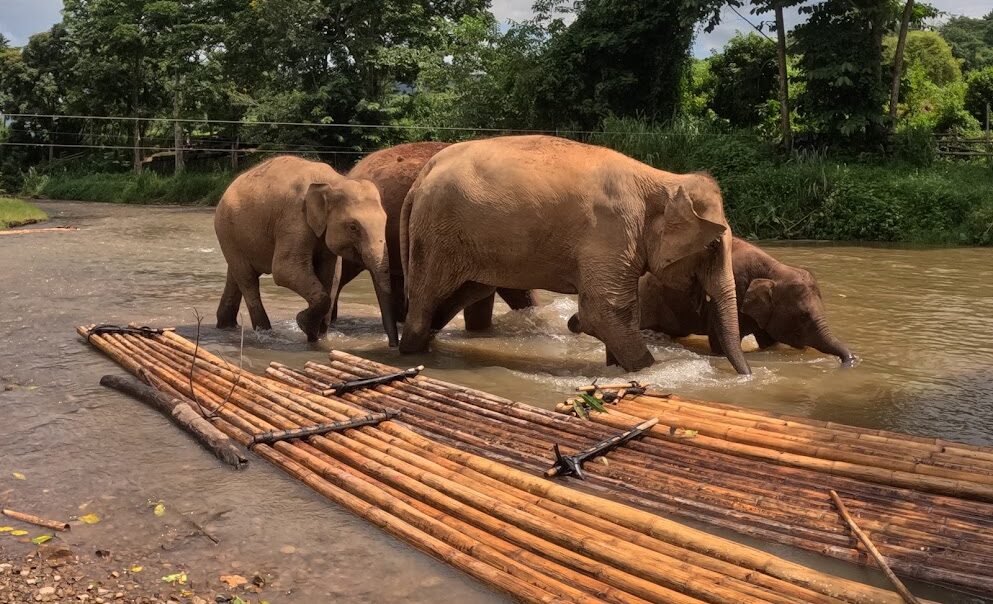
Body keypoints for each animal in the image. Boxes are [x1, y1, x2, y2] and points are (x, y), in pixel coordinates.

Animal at [215, 153, 398, 346]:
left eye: (386, 221)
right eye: (353, 227)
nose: (393, 345)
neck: (334, 181)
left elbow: (332, 274)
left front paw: (318, 337)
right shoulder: (294, 218)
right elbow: (284, 270)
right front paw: (304, 324)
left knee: (235, 276)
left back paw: (226, 326)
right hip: (226, 231)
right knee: (248, 280)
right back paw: (265, 333)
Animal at [400, 135, 748, 376]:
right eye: (713, 246)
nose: (744, 377)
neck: (663, 179)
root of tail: (421, 176)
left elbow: (616, 314)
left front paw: (615, 368)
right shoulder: (611, 231)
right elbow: (603, 311)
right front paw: (652, 371)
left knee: (455, 298)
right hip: (436, 237)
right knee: (426, 299)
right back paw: (412, 354)